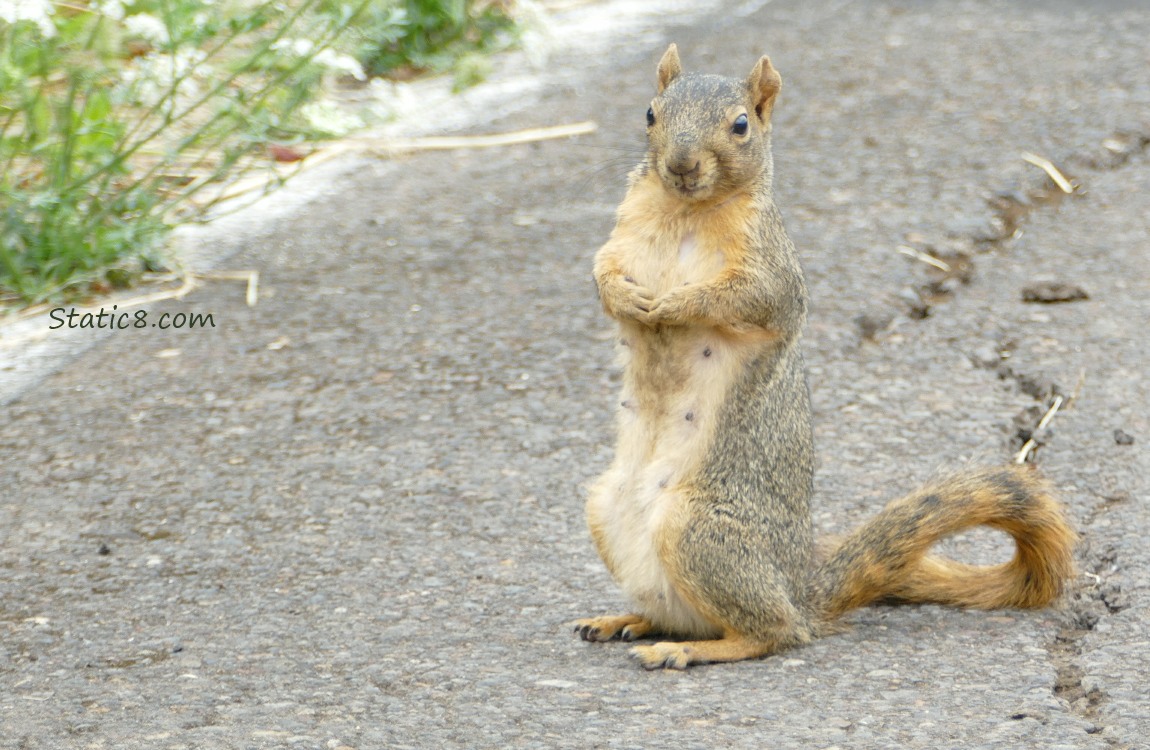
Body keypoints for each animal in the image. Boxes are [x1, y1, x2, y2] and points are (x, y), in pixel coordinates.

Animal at [575, 43, 1076, 671]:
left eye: (741, 125)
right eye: (650, 113)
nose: (683, 165)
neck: (685, 211)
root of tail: (799, 590)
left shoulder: (772, 272)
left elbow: (745, 298)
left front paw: (675, 302)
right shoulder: (622, 235)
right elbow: (603, 274)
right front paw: (627, 297)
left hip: (698, 530)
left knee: (772, 632)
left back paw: (686, 648)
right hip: (606, 506)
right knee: (685, 611)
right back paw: (626, 619)